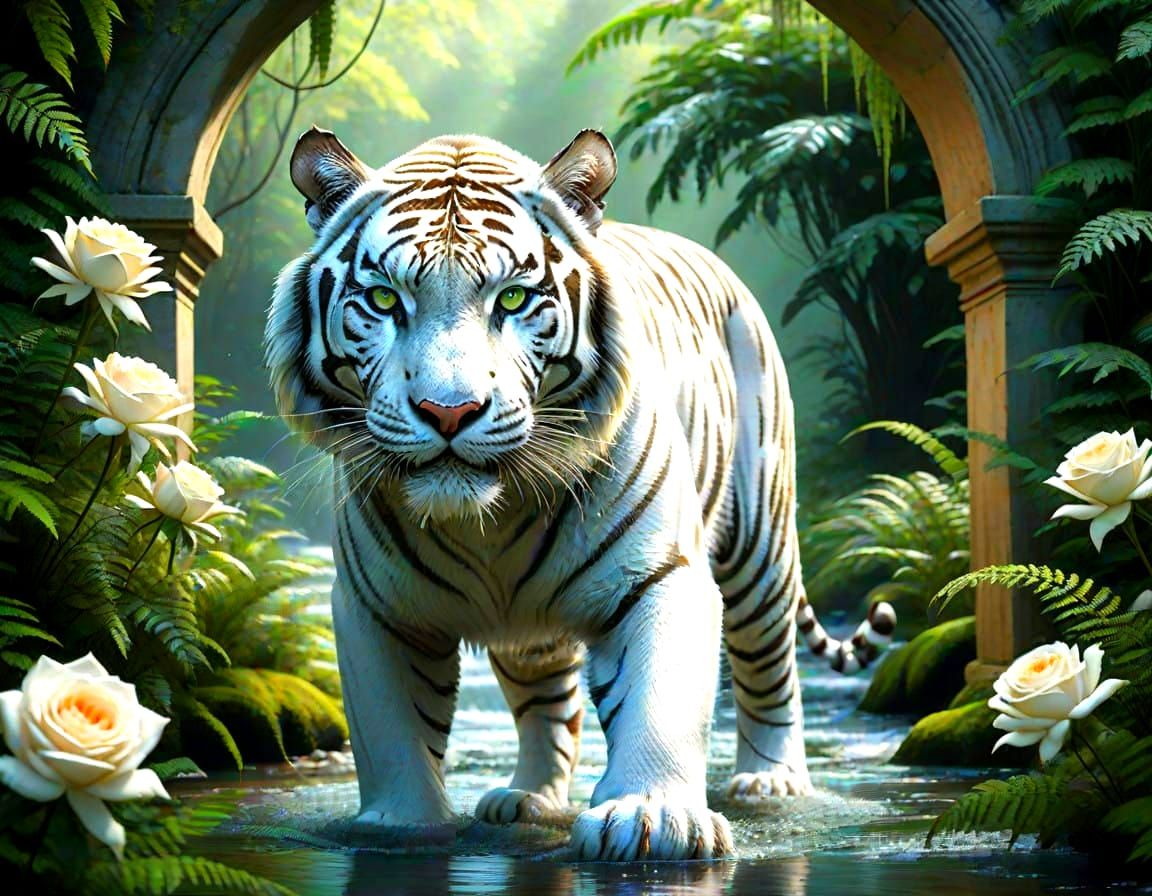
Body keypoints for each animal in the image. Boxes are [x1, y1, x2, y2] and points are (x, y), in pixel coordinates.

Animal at [265, 126, 895, 861]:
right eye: (387, 300)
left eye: (512, 300)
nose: (449, 412)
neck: (487, 521)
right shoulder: (378, 606)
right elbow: (392, 728)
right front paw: (401, 825)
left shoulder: (662, 573)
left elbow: (659, 698)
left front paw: (655, 817)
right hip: (527, 631)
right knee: (549, 707)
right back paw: (530, 798)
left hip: (758, 544)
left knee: (771, 668)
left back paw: (771, 781)